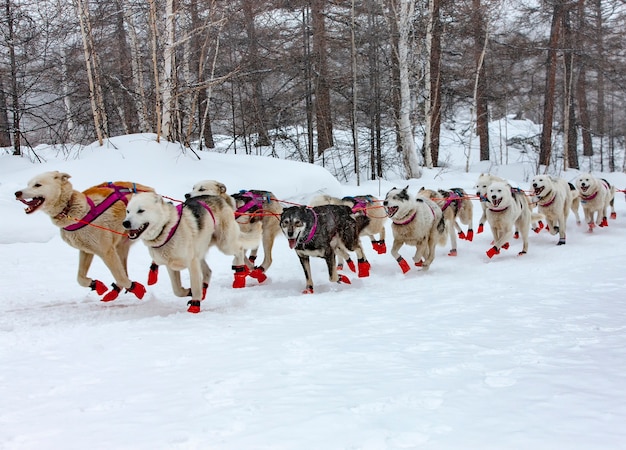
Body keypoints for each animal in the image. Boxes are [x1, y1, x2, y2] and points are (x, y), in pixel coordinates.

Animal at [14, 172, 152, 302]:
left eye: (37, 185)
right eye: (28, 184)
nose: (17, 193)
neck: (71, 210)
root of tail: (149, 190)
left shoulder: (107, 252)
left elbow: (122, 278)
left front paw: (137, 289)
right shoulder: (86, 251)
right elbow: (80, 279)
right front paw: (95, 285)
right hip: (121, 246)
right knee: (124, 272)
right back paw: (114, 291)